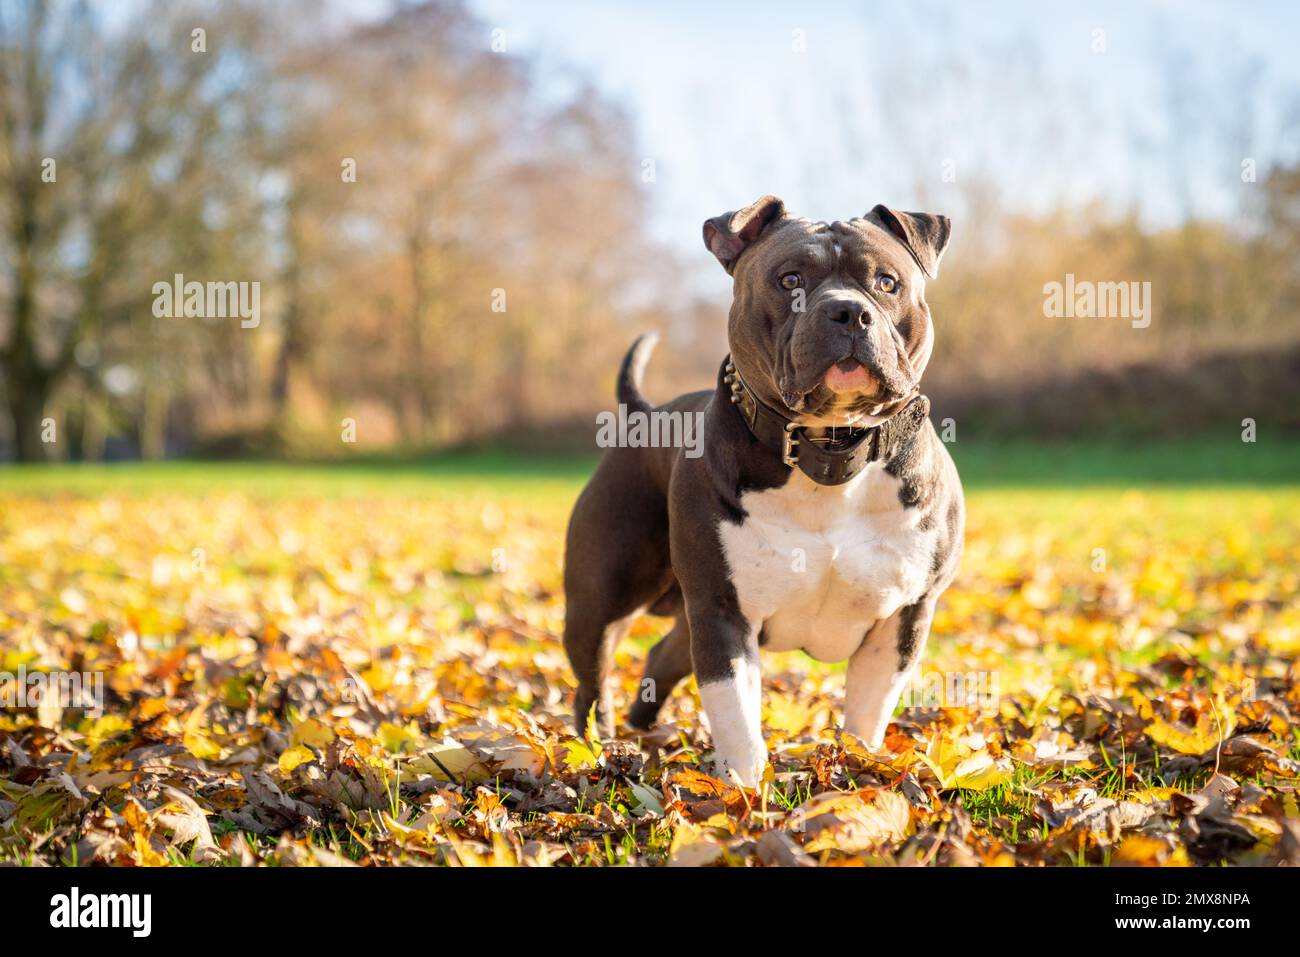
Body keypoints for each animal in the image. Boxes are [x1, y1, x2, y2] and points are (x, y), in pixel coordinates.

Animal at [564, 195, 961, 785]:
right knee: (593, 679)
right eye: (789, 279)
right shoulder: (723, 612)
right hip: (601, 601)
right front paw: (744, 791)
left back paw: (643, 728)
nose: (849, 311)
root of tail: (643, 413)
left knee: (663, 655)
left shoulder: (903, 616)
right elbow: (736, 715)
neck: (829, 450)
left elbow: (866, 712)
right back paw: (596, 745)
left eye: (887, 282)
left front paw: (857, 767)